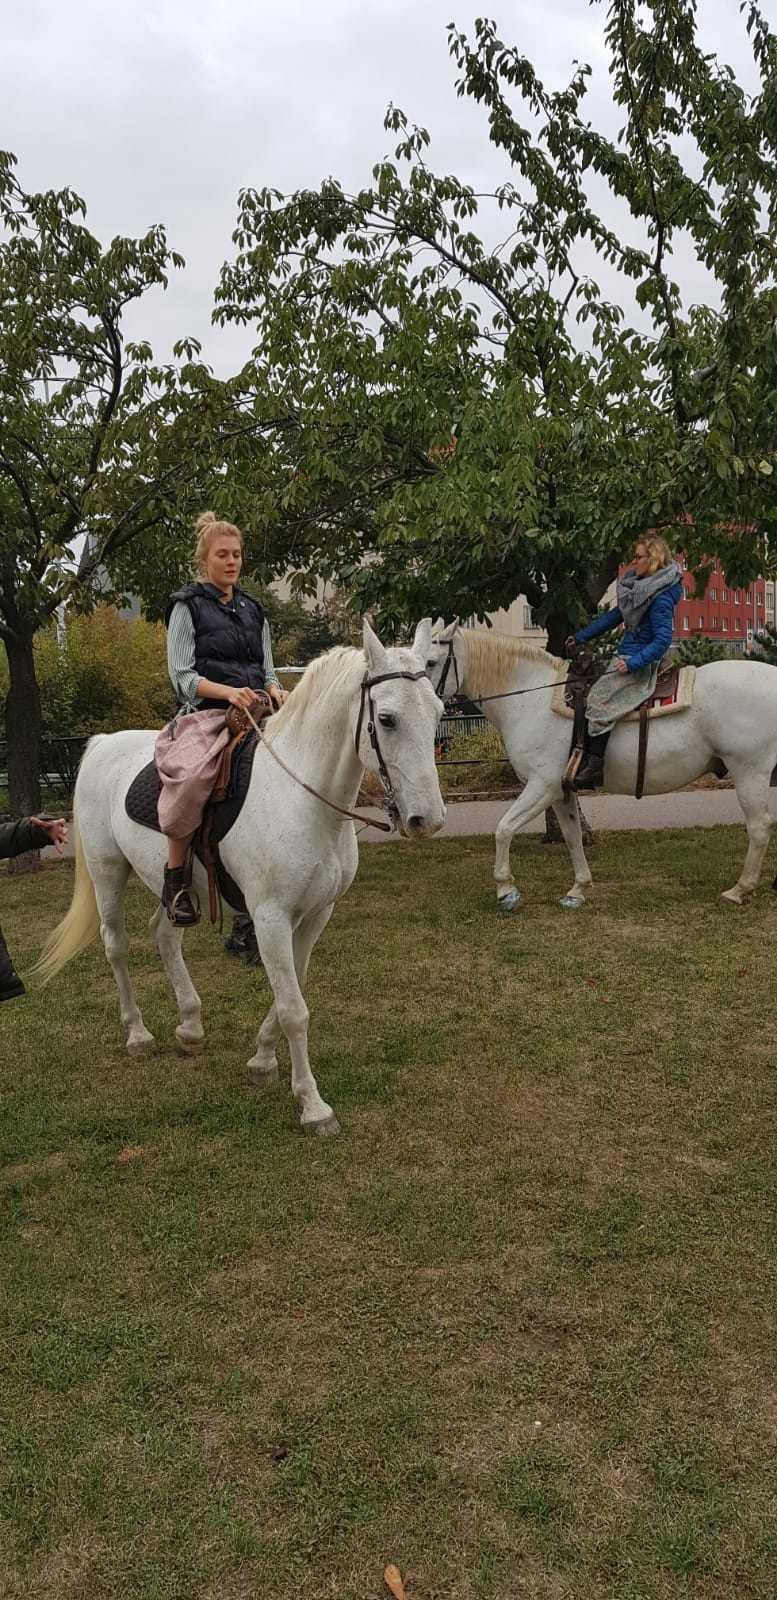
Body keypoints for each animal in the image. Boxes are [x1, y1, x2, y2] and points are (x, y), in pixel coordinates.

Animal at [36, 617, 447, 1132]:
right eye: (387, 719)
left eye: (438, 713)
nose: (427, 820)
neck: (301, 799)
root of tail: (102, 744)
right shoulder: (269, 918)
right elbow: (294, 1009)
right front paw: (312, 1104)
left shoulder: (315, 915)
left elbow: (291, 990)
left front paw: (263, 1060)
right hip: (107, 871)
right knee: (117, 946)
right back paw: (137, 1033)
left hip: (173, 888)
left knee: (164, 936)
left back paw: (190, 1026)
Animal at [425, 624, 777, 915]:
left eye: (430, 662)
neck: (532, 700)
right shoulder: (560, 791)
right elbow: (572, 837)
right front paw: (577, 890)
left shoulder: (542, 786)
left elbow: (503, 829)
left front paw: (506, 891)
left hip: (750, 772)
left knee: (759, 827)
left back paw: (740, 889)